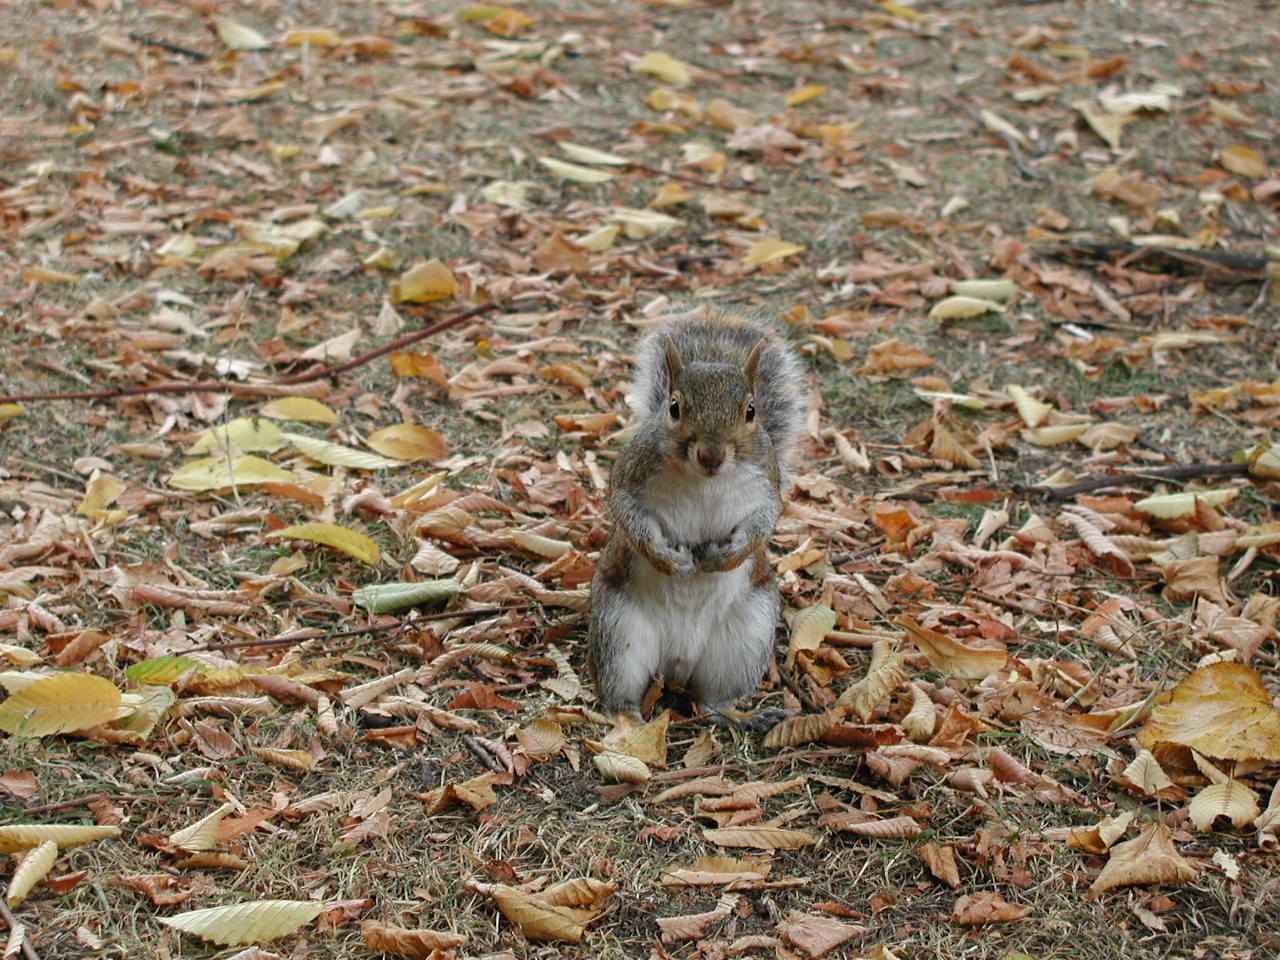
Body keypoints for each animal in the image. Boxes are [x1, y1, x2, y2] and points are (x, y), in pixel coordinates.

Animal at [586, 308, 803, 737]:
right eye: (674, 408)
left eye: (751, 411)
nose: (712, 455)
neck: (706, 481)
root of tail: (676, 662)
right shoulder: (628, 479)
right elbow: (630, 519)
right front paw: (671, 562)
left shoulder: (768, 488)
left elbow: (764, 523)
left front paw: (725, 557)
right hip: (619, 633)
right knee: (621, 692)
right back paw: (630, 723)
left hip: (745, 638)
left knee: (712, 701)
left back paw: (744, 716)